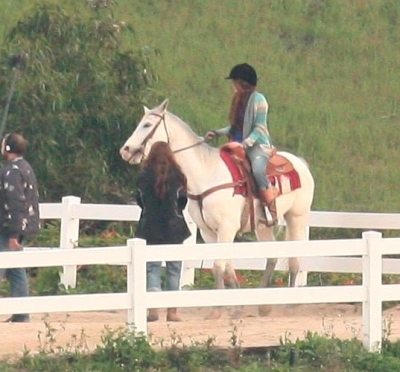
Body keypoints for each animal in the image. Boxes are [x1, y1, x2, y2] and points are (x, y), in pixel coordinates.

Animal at [120, 100, 314, 318]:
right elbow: (226, 265)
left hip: (296, 217)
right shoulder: (208, 232)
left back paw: (291, 303)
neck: (207, 174)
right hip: (263, 225)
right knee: (272, 257)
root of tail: (299, 162)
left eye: (146, 124)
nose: (125, 150)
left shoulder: (227, 228)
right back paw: (263, 305)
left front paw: (217, 309)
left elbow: (218, 266)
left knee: (294, 257)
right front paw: (236, 306)